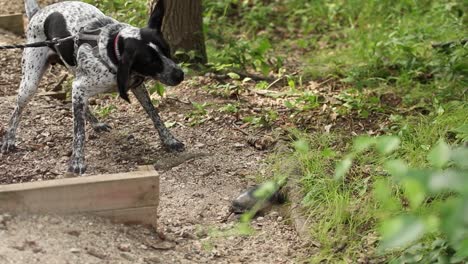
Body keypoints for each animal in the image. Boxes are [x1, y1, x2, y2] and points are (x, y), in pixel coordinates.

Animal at [0, 0, 186, 174]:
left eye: (167, 50)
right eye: (150, 61)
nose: (180, 75)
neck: (111, 48)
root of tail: (37, 13)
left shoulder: (136, 87)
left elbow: (154, 115)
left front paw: (169, 140)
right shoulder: (81, 86)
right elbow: (79, 131)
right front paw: (77, 161)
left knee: (78, 105)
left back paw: (96, 123)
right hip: (30, 83)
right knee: (17, 112)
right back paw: (9, 139)